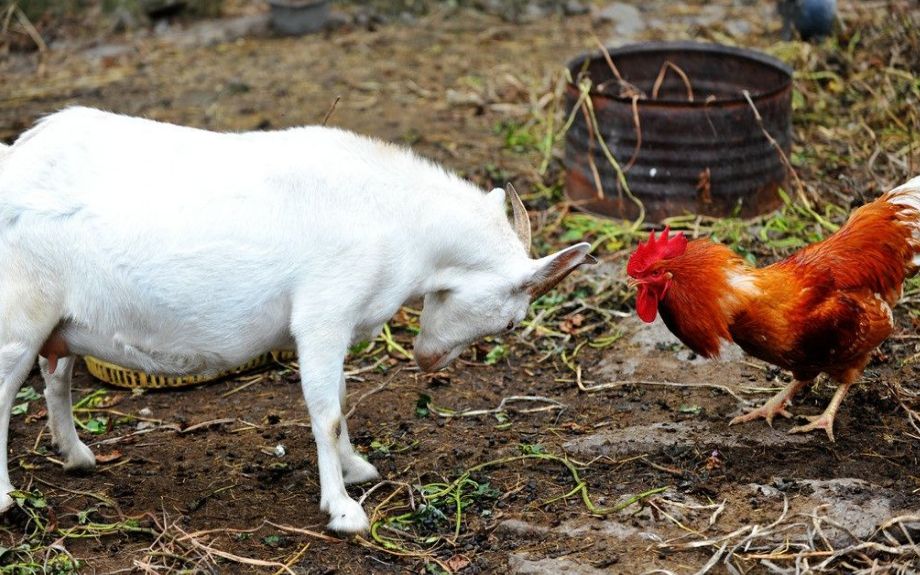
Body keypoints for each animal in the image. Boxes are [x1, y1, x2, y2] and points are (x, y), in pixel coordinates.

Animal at [0, 107, 588, 532]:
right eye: (511, 324)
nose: (428, 361)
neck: (396, 220)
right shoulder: (322, 315)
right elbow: (326, 414)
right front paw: (345, 511)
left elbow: (342, 403)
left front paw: (356, 469)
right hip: (17, 318)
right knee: (6, 392)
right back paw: (7, 498)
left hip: (60, 320)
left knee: (56, 376)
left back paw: (76, 455)